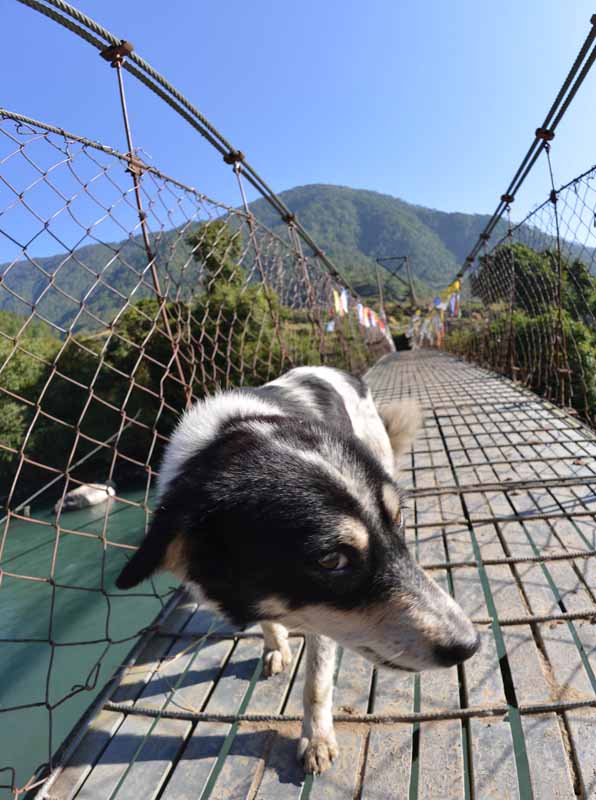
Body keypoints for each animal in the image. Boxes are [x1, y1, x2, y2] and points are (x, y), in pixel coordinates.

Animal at [116, 366, 479, 774]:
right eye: (331, 560)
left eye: (398, 520)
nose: (470, 645)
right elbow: (271, 626)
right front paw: (275, 644)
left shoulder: (324, 622)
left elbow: (316, 684)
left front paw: (316, 739)